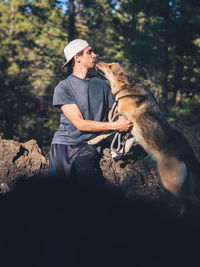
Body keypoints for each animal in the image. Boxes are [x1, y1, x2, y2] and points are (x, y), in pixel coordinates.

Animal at [88, 61, 200, 213]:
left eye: (110, 66)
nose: (97, 60)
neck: (126, 88)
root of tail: (186, 157)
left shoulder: (121, 120)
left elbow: (105, 131)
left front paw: (92, 140)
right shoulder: (131, 129)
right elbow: (127, 143)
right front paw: (118, 153)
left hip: (169, 182)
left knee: (186, 202)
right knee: (193, 201)